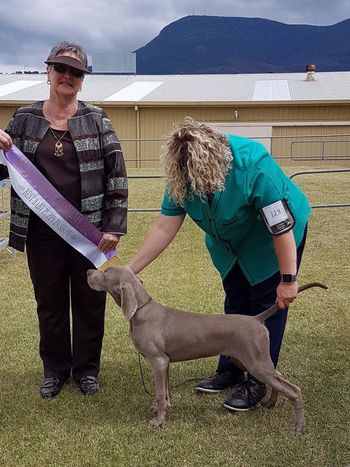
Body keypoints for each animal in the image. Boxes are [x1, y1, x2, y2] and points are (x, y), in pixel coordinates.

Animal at [87, 266, 326, 436]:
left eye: (106, 273)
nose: (89, 271)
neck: (141, 310)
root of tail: (257, 319)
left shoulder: (158, 361)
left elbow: (159, 392)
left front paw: (158, 421)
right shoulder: (166, 362)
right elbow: (164, 392)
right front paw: (160, 409)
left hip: (255, 362)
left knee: (294, 390)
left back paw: (298, 428)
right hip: (248, 360)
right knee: (279, 376)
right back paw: (270, 403)